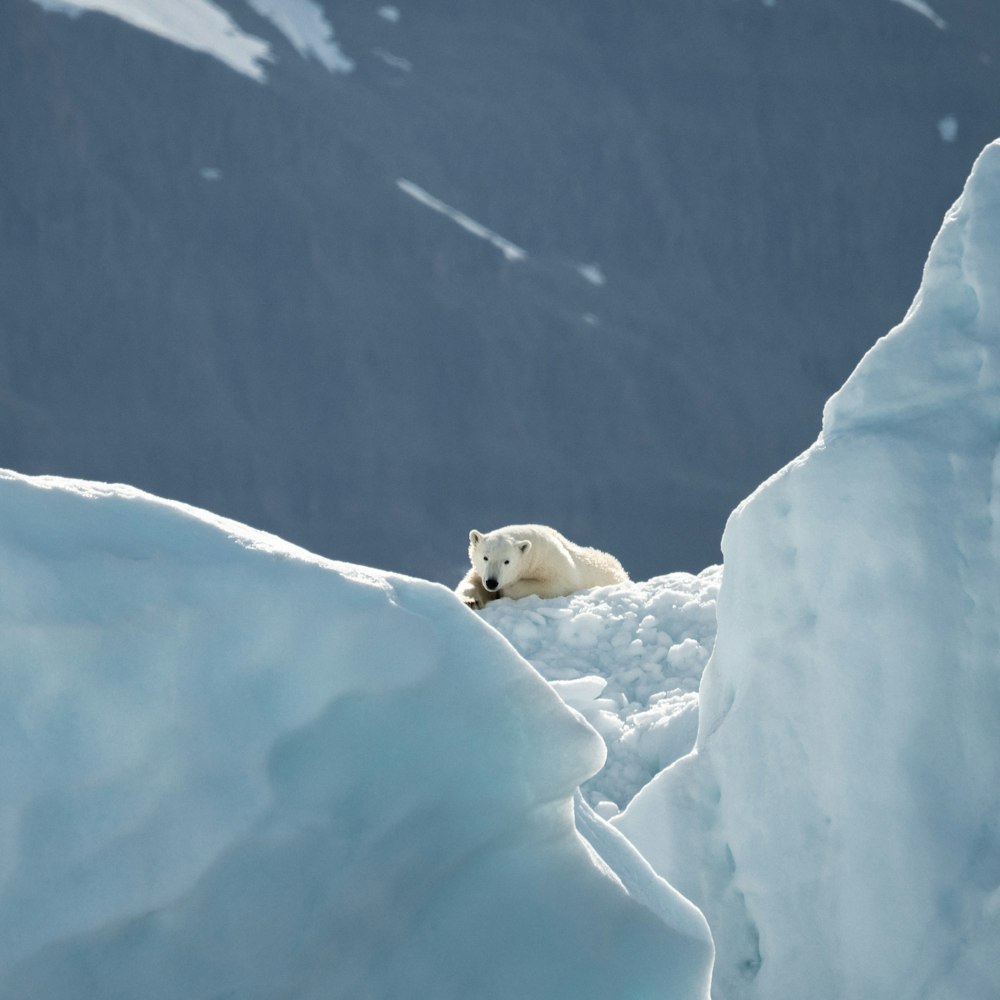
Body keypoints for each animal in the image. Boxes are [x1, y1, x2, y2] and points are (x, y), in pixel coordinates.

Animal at [454, 524, 624, 608]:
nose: (492, 582)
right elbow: (471, 582)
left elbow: (553, 586)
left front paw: (505, 590)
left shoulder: (553, 564)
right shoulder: (480, 572)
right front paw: (470, 601)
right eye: (485, 557)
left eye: (507, 561)